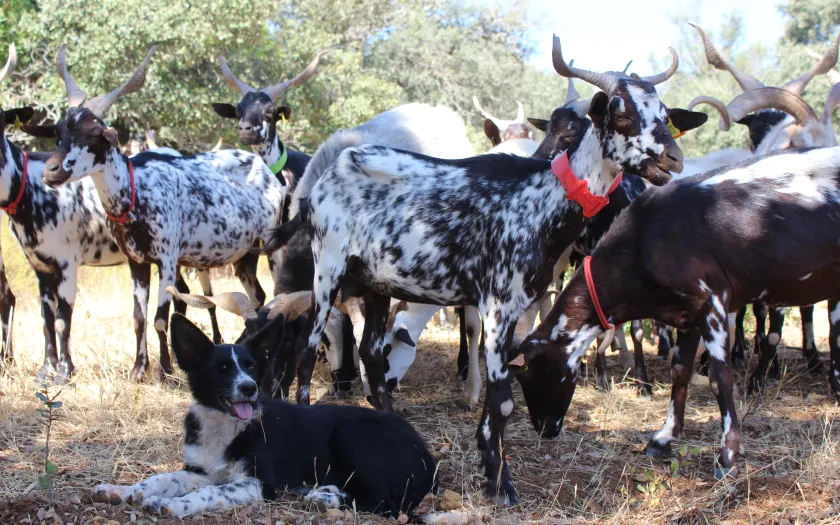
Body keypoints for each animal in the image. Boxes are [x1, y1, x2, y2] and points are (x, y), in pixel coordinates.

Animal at [33, 46, 286, 380]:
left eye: (96, 132)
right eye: (59, 130)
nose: (51, 171)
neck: (136, 193)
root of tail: (268, 173)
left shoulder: (166, 259)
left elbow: (160, 318)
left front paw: (166, 370)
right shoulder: (137, 262)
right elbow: (139, 317)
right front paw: (138, 369)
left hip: (266, 246)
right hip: (243, 256)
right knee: (256, 296)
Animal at [93, 312, 440, 516]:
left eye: (250, 367)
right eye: (222, 369)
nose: (249, 388)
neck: (225, 426)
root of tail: (428, 456)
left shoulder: (259, 483)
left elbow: (210, 492)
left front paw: (172, 504)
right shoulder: (200, 470)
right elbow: (161, 478)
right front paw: (121, 490)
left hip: (350, 434)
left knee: (385, 504)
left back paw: (325, 499)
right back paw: (324, 491)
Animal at [270, 36, 704, 504]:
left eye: (664, 113)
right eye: (622, 112)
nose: (674, 159)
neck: (540, 199)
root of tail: (324, 179)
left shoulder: (521, 306)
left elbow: (499, 397)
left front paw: (488, 466)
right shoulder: (498, 304)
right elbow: (503, 400)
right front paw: (501, 483)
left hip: (376, 285)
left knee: (371, 351)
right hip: (328, 269)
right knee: (307, 348)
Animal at [508, 143, 840, 478]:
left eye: (528, 372)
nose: (544, 428)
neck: (645, 237)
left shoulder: (711, 300)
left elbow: (720, 377)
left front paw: (727, 455)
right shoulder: (687, 315)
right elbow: (679, 371)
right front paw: (663, 438)